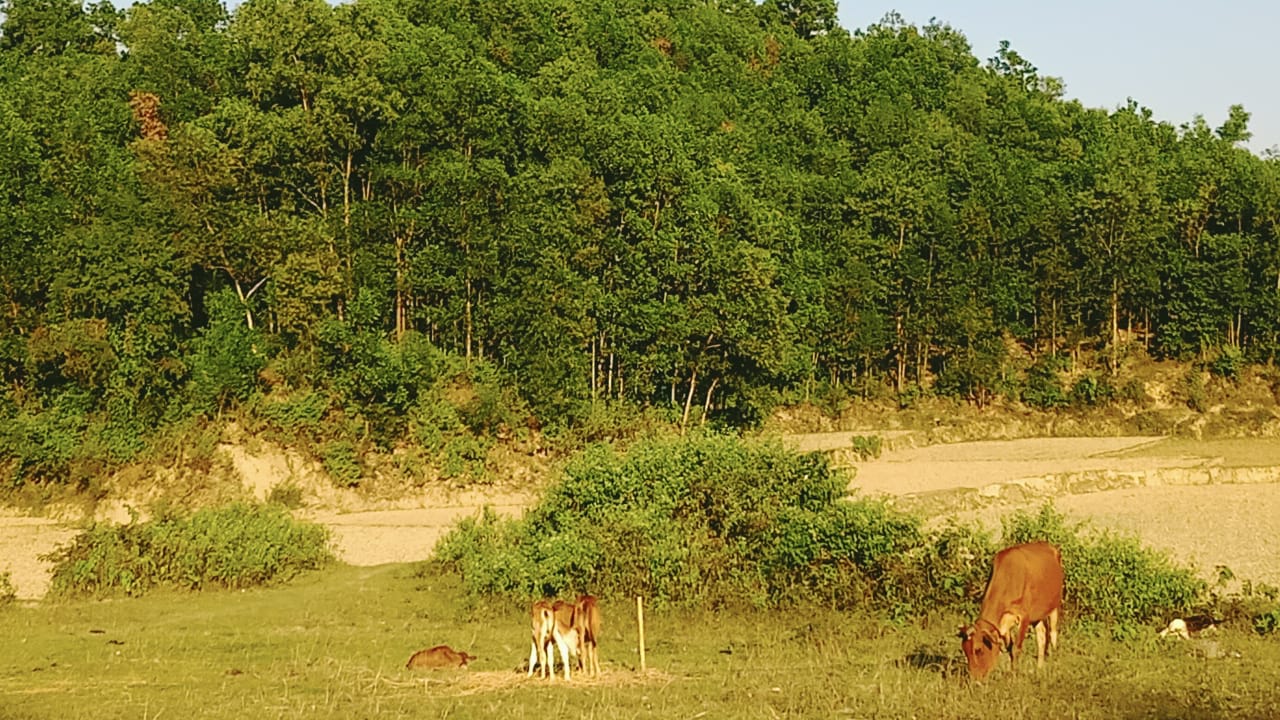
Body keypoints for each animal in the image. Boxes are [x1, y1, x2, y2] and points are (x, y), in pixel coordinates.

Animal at [957, 538, 1064, 676]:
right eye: (965, 651)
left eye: (978, 650)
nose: (975, 679)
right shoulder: (1004, 622)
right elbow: (1009, 647)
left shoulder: (1024, 616)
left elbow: (1016, 648)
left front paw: (1014, 674)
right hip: (1038, 616)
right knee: (1041, 637)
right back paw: (1039, 669)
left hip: (1055, 606)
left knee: (1053, 634)